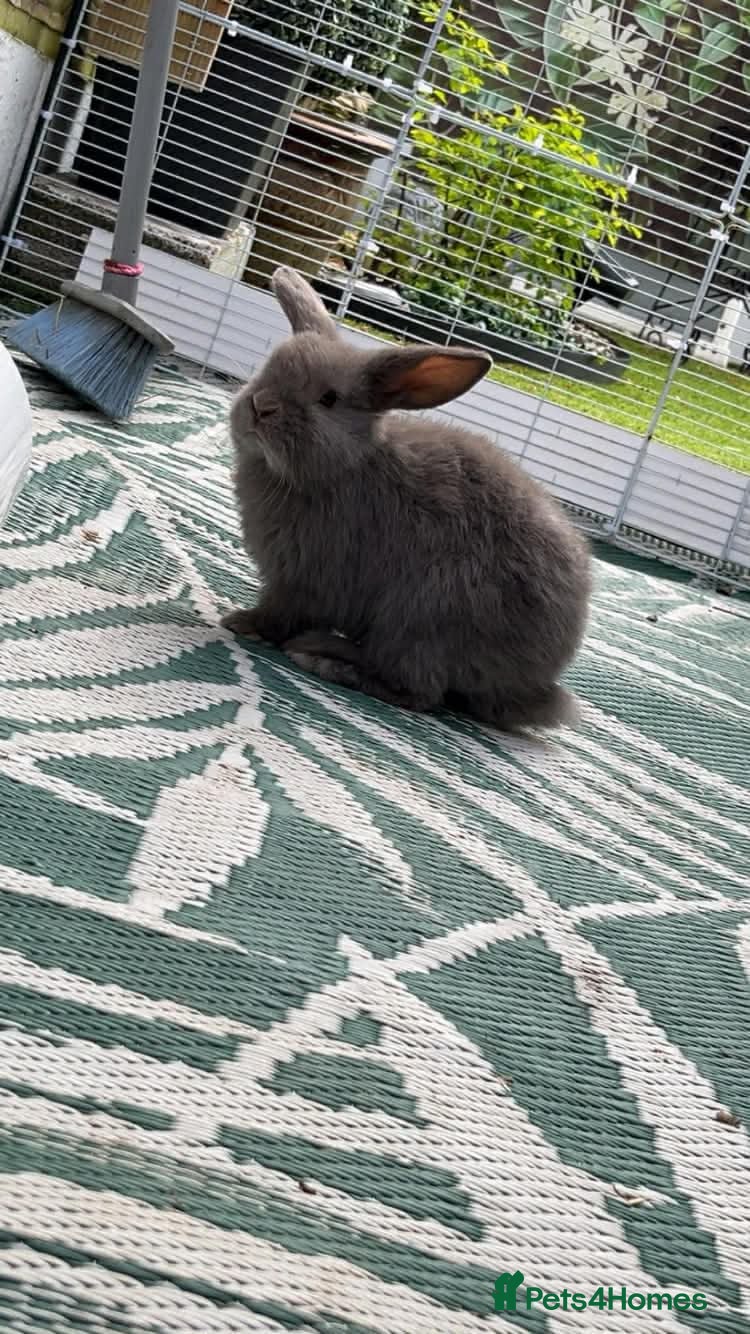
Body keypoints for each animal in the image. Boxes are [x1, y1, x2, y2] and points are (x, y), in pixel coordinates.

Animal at [222, 266, 591, 730]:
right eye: (269, 368)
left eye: (328, 399)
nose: (260, 405)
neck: (344, 465)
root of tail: (532, 687)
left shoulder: (304, 580)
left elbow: (278, 613)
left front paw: (241, 623)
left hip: (421, 619)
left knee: (417, 692)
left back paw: (325, 658)